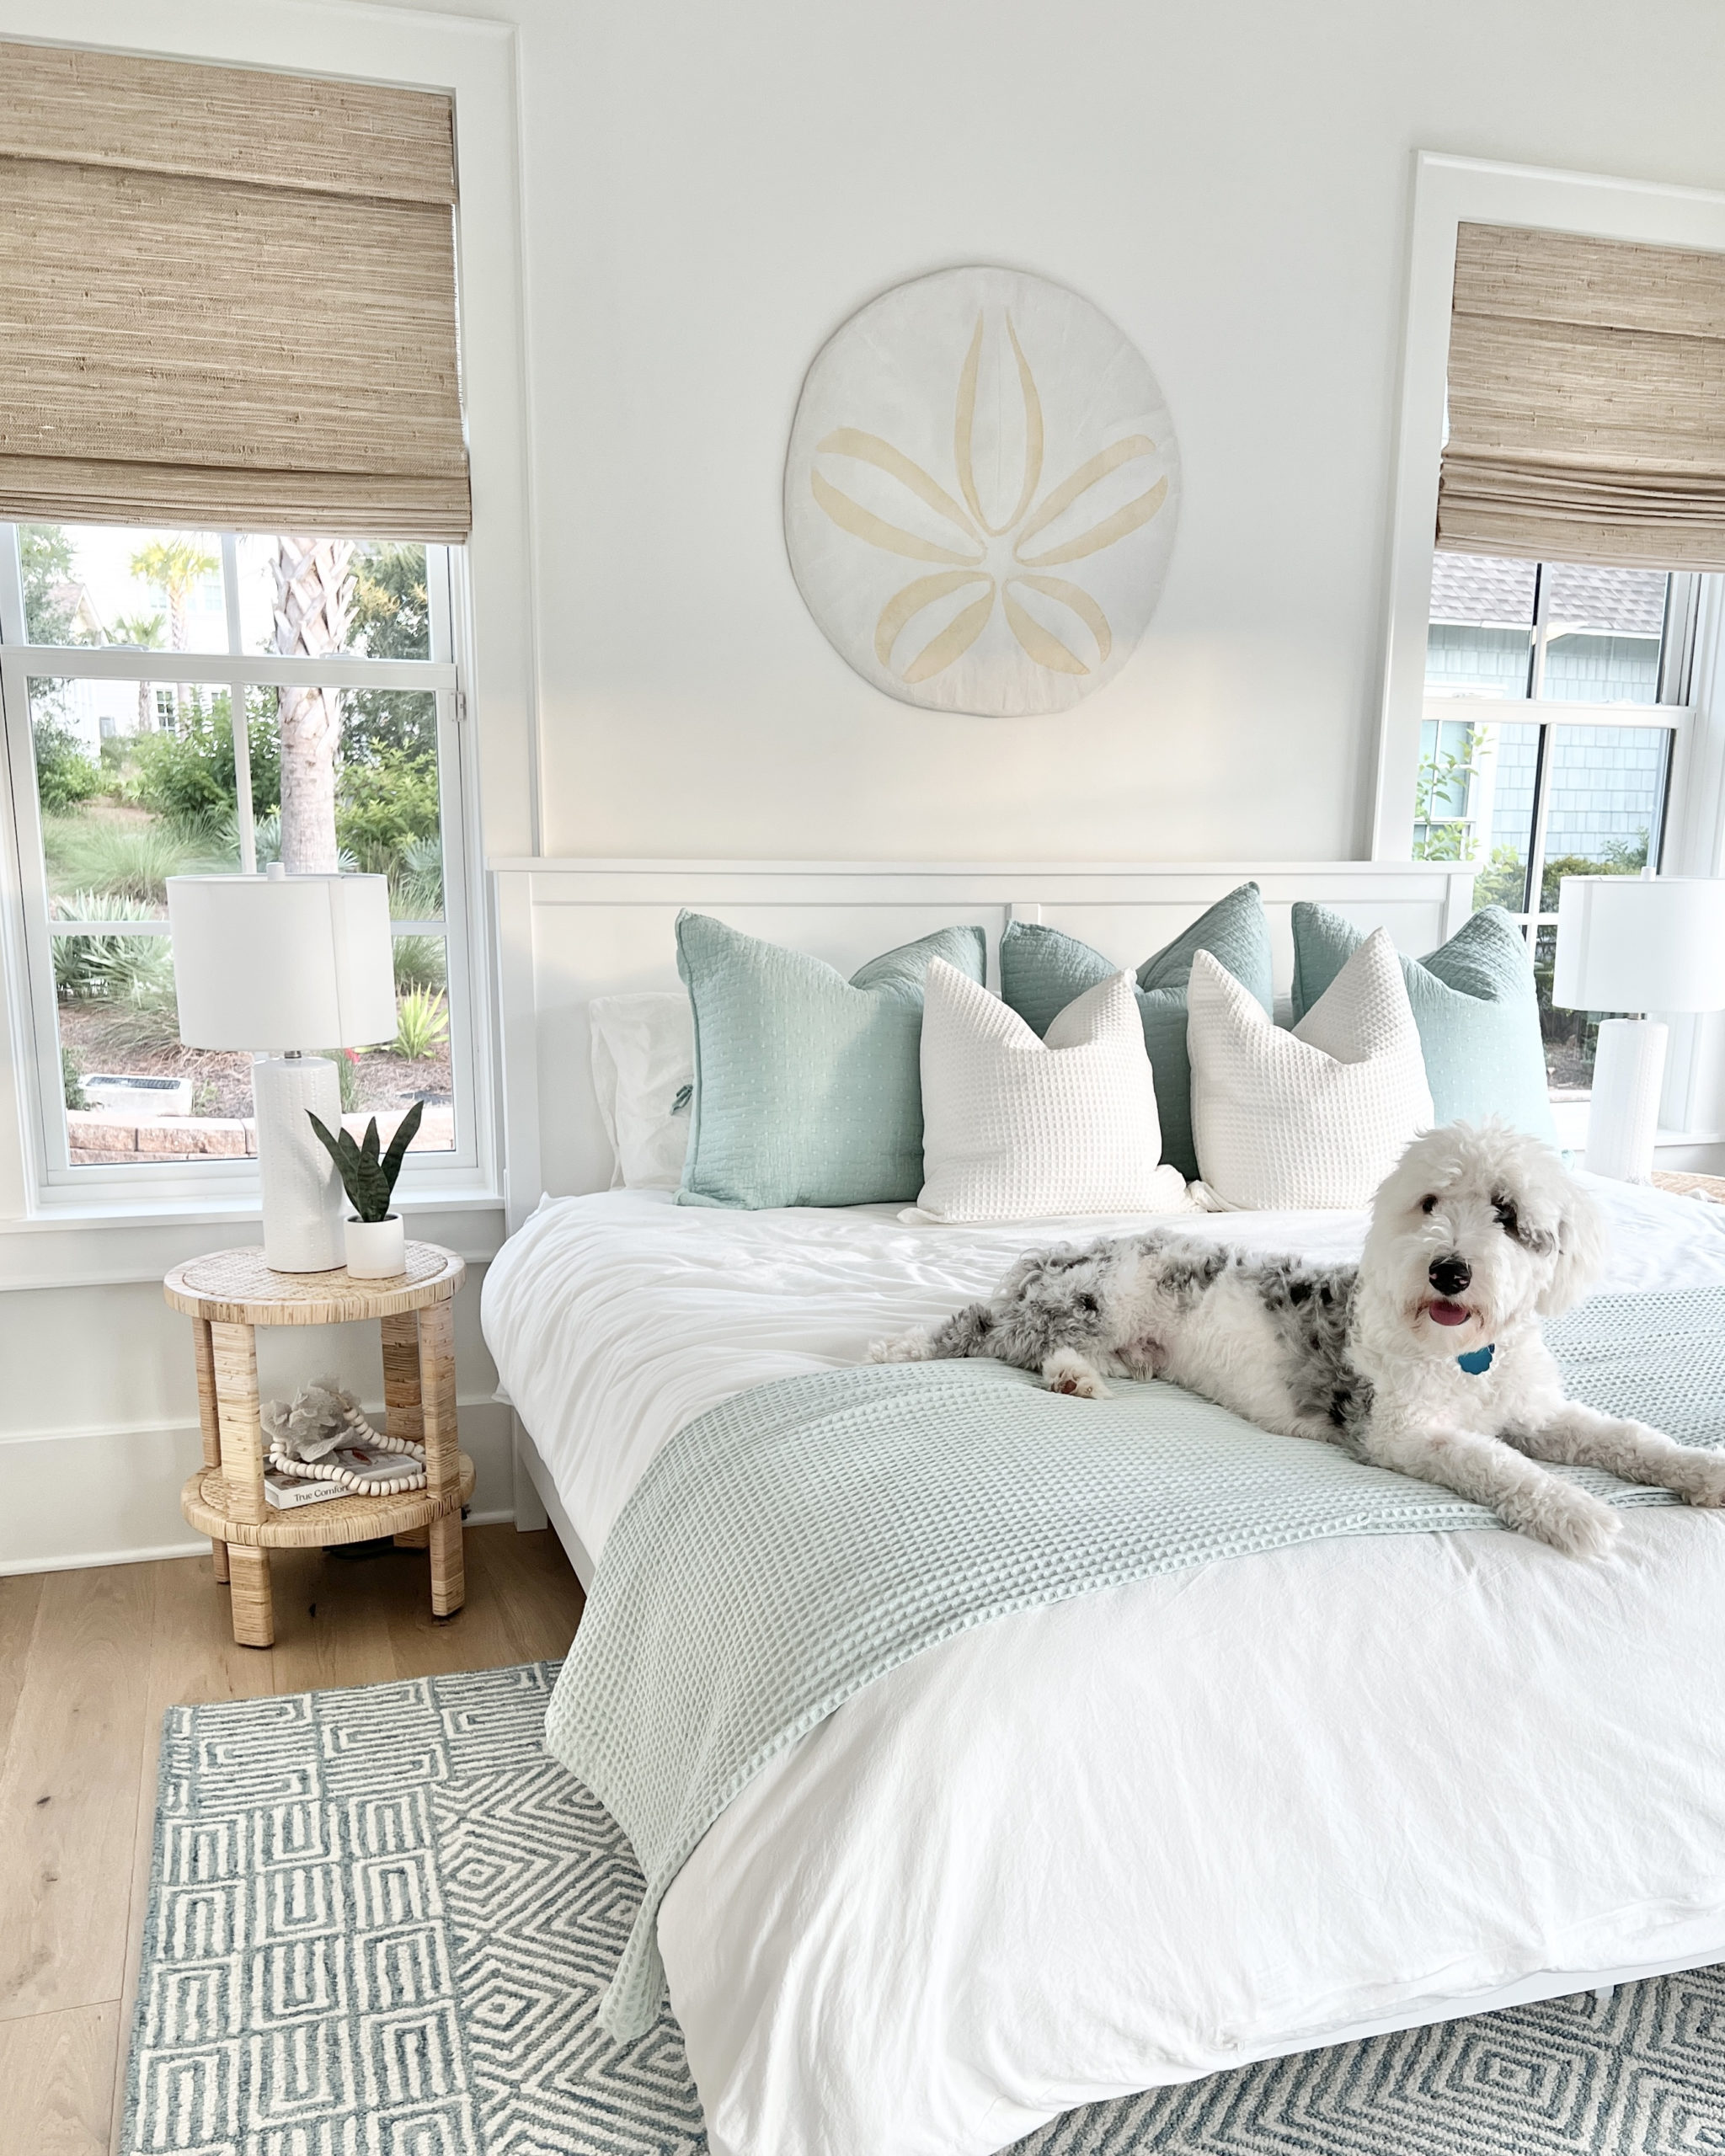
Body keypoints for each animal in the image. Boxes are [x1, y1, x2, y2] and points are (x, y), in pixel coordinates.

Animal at [875, 1121, 1725, 1561]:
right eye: (1429, 1202)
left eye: (1509, 1216)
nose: (1450, 1270)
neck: (1465, 1357)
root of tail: (1049, 1260)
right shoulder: (1406, 1435)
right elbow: (1500, 1466)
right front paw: (1577, 1512)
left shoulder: (1539, 1413)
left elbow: (1626, 1437)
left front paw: (1703, 1471)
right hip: (1097, 1300)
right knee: (1004, 1333)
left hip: (1119, 1335)